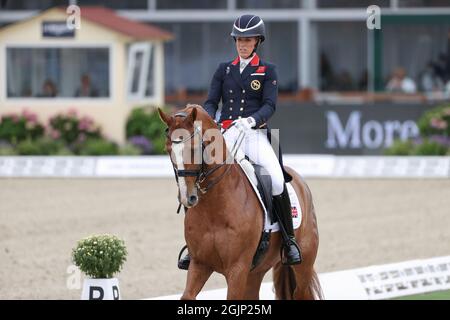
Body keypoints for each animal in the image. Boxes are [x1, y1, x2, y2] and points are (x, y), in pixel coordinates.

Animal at [158, 105, 320, 300]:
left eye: (194, 149)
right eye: (168, 149)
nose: (186, 197)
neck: (215, 207)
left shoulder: (237, 268)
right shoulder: (199, 264)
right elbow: (187, 296)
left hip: (304, 264)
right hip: (256, 271)